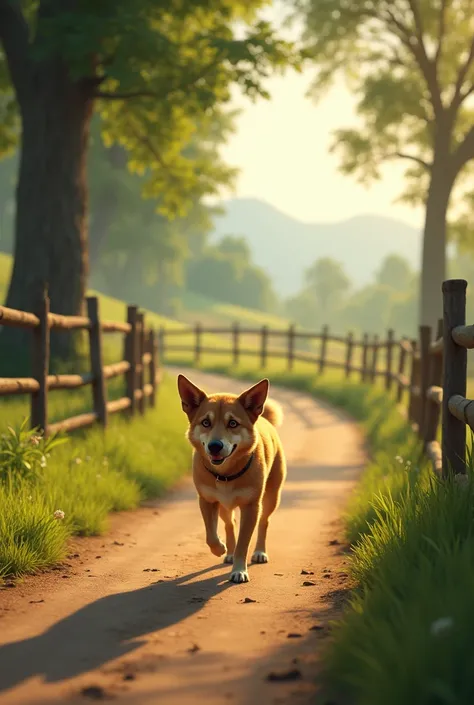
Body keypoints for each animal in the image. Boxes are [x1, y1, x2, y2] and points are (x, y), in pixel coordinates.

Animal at [177, 374, 286, 584]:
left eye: (233, 423)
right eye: (205, 422)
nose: (215, 446)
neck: (225, 474)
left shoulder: (251, 507)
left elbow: (244, 542)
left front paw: (239, 570)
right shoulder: (207, 501)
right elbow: (210, 535)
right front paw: (220, 548)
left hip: (271, 497)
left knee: (264, 521)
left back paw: (260, 552)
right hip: (223, 506)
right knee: (229, 523)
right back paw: (228, 551)